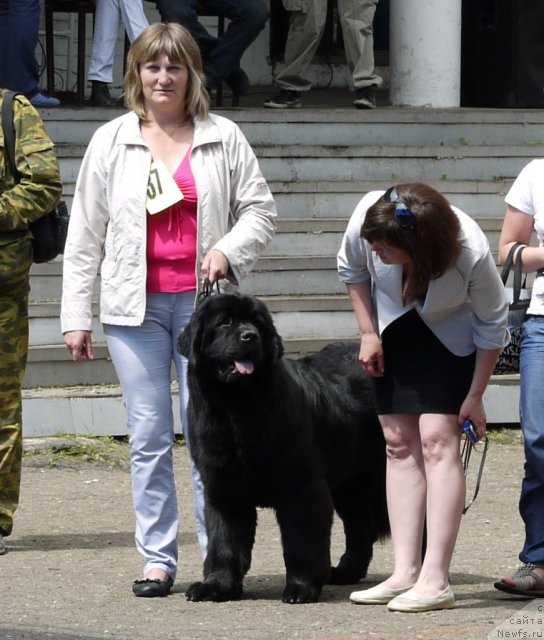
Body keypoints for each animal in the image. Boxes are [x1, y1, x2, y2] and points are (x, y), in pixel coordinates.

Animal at [177, 292, 386, 604]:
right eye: (225, 322)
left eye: (257, 324)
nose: (249, 336)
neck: (236, 410)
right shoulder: (223, 488)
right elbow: (224, 540)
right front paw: (217, 586)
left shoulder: (301, 488)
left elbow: (301, 542)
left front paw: (301, 587)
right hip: (349, 483)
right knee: (360, 528)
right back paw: (345, 573)